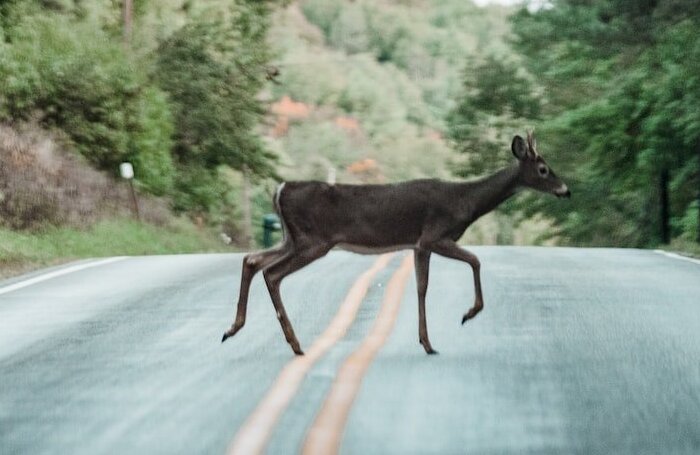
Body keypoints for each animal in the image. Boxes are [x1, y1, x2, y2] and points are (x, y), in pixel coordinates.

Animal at [221, 132, 572, 356]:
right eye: (543, 169)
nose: (565, 190)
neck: (465, 202)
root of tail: (280, 189)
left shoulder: (418, 244)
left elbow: (421, 287)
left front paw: (426, 342)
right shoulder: (435, 235)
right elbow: (474, 261)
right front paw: (466, 315)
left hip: (291, 238)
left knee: (251, 259)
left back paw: (233, 329)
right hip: (312, 240)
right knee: (272, 273)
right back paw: (294, 344)